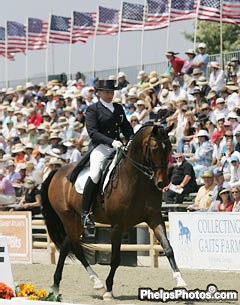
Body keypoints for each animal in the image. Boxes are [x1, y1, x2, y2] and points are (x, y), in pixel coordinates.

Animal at [41, 123, 187, 300]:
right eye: (154, 148)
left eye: (169, 148)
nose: (163, 183)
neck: (137, 179)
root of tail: (57, 171)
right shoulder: (118, 225)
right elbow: (116, 259)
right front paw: (109, 290)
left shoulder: (154, 218)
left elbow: (168, 248)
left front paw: (180, 281)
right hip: (68, 217)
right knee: (76, 247)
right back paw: (97, 283)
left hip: (76, 221)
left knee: (66, 246)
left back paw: (57, 285)